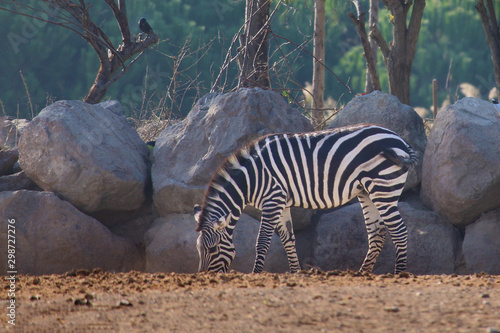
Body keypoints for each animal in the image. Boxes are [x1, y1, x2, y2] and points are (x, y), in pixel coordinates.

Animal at [193, 123, 420, 274]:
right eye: (198, 249)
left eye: (212, 249)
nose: (204, 278)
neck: (252, 178)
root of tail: (400, 140)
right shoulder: (282, 203)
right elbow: (288, 239)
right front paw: (295, 273)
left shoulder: (272, 200)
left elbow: (263, 241)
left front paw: (255, 274)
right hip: (368, 192)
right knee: (377, 234)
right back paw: (362, 273)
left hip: (383, 189)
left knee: (399, 231)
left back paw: (399, 274)